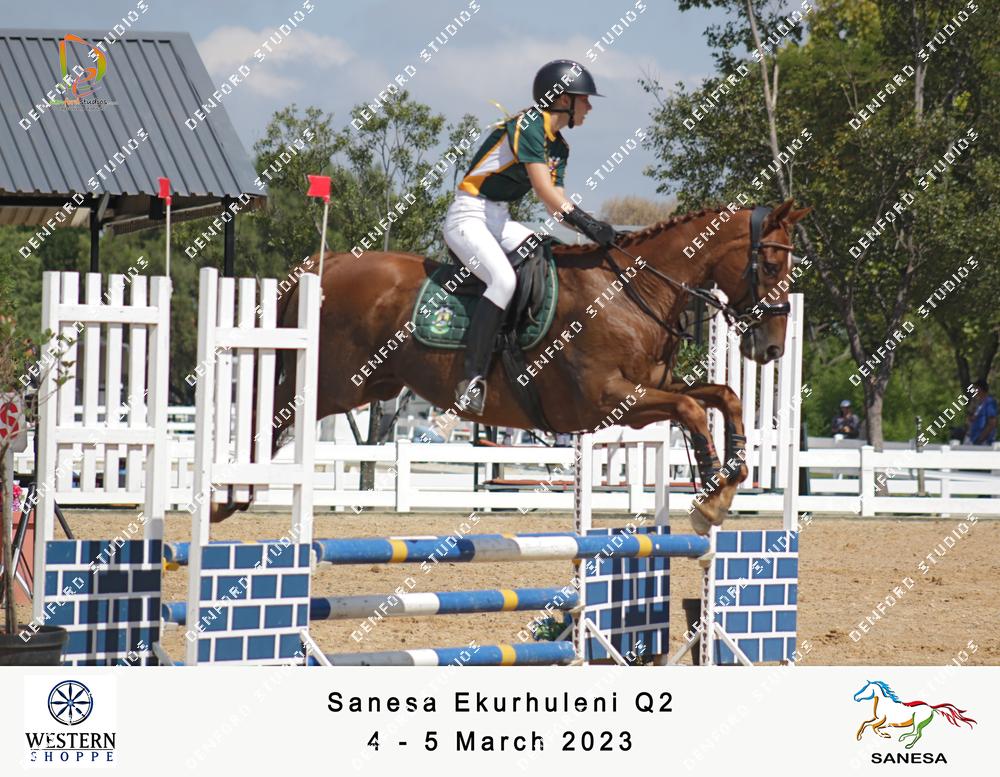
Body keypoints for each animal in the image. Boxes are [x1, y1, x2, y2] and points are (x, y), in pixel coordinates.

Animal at [217, 199, 810, 534]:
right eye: (770, 263)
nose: (772, 350)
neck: (632, 291)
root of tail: (331, 260)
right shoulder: (607, 398)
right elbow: (690, 407)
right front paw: (712, 493)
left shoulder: (648, 391)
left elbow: (723, 396)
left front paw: (729, 481)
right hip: (332, 383)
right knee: (270, 413)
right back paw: (229, 496)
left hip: (368, 385)